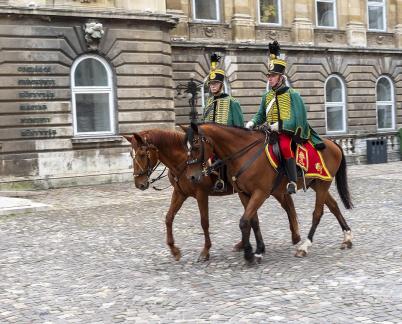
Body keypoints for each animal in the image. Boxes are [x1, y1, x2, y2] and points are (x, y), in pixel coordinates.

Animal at [122, 128, 302, 262]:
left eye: (142, 154)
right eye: (131, 155)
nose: (139, 184)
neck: (183, 160)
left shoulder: (201, 194)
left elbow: (204, 222)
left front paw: (205, 251)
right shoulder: (180, 193)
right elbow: (169, 218)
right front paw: (174, 250)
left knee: (287, 205)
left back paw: (295, 236)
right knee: (278, 206)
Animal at [185, 123, 352, 262]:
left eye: (196, 145)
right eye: (186, 147)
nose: (191, 177)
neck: (244, 154)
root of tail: (333, 144)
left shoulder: (260, 193)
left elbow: (244, 221)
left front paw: (249, 253)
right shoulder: (244, 194)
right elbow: (253, 221)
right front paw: (258, 249)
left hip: (323, 184)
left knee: (317, 213)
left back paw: (304, 247)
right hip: (317, 184)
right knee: (334, 206)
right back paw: (347, 238)